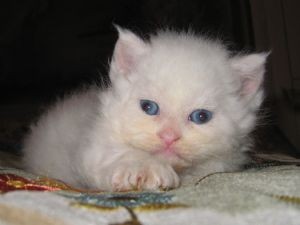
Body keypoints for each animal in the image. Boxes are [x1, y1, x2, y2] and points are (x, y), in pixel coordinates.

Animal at [22, 27, 268, 191]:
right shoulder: (91, 148)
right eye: (149, 107)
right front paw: (145, 169)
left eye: (201, 116)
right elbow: (118, 154)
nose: (169, 136)